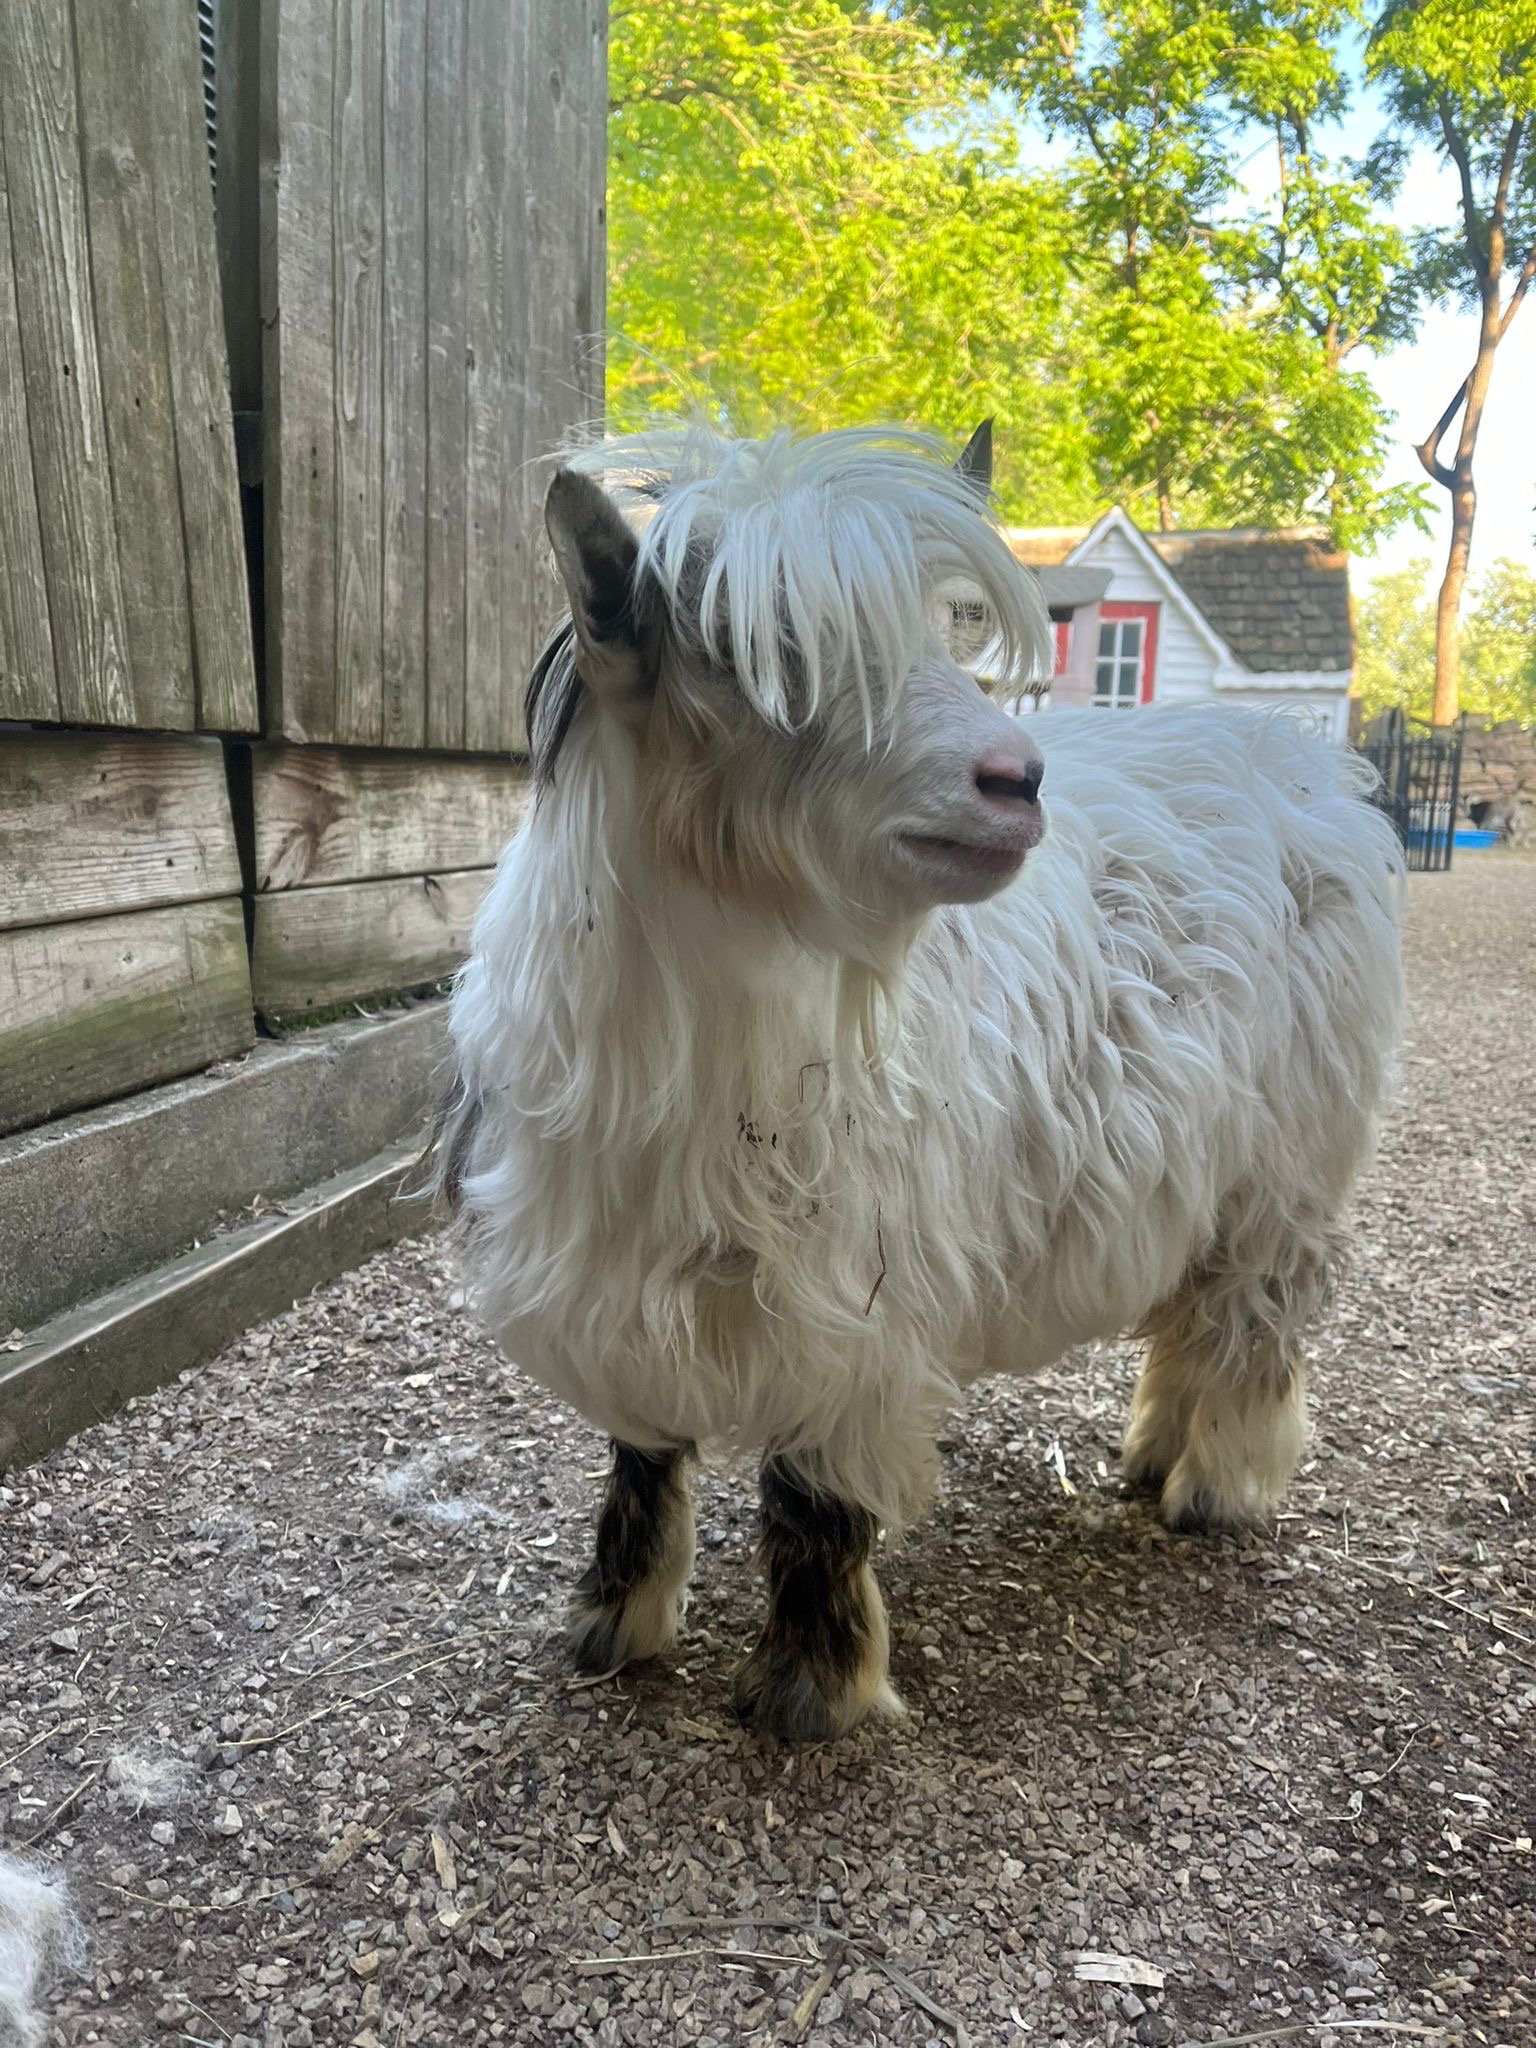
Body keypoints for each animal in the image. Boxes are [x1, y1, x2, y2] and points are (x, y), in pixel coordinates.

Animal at [437, 421, 1404, 1740]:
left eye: (953, 630)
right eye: (757, 654)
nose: (1018, 778)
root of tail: (1303, 764)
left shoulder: (857, 1287)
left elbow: (814, 1491)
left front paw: (810, 1688)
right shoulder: (607, 1270)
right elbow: (640, 1451)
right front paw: (612, 1621)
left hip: (1291, 1158)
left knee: (1257, 1312)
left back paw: (1218, 1485)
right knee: (1194, 1306)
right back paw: (1153, 1453)